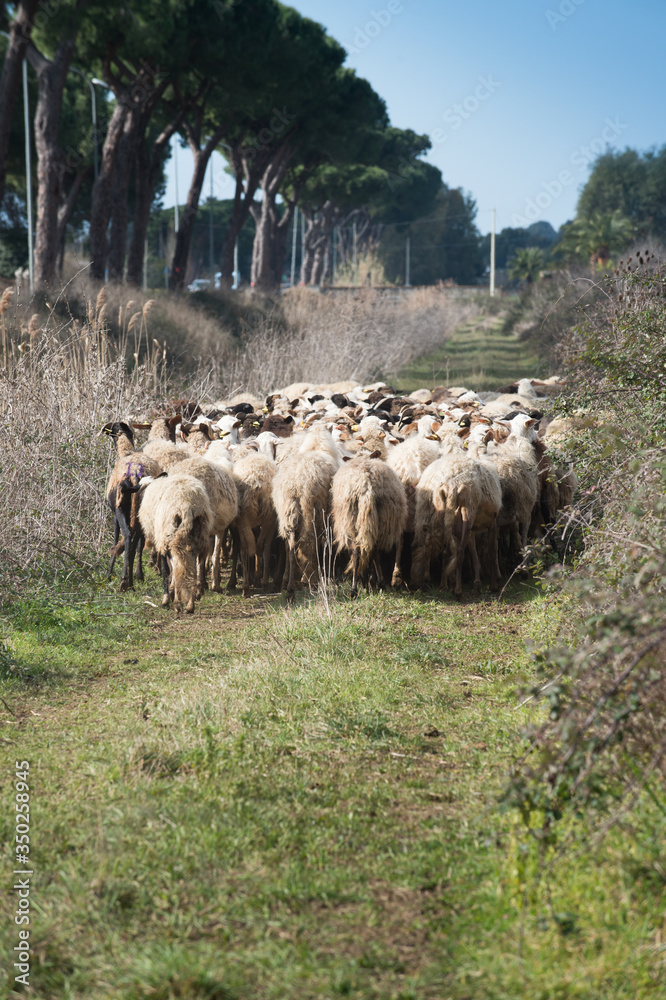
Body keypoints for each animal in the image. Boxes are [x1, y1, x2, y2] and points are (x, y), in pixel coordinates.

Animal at [101, 421, 163, 591]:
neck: (127, 452)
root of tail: (134, 475)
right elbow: (139, 544)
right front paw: (138, 574)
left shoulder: (114, 514)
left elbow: (116, 538)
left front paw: (109, 573)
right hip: (140, 511)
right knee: (135, 543)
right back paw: (131, 580)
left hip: (122, 509)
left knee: (129, 536)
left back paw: (125, 581)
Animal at [331, 456, 407, 597]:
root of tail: (367, 487)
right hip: (379, 522)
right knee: (373, 550)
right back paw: (376, 583)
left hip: (351, 522)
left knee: (359, 552)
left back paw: (357, 589)